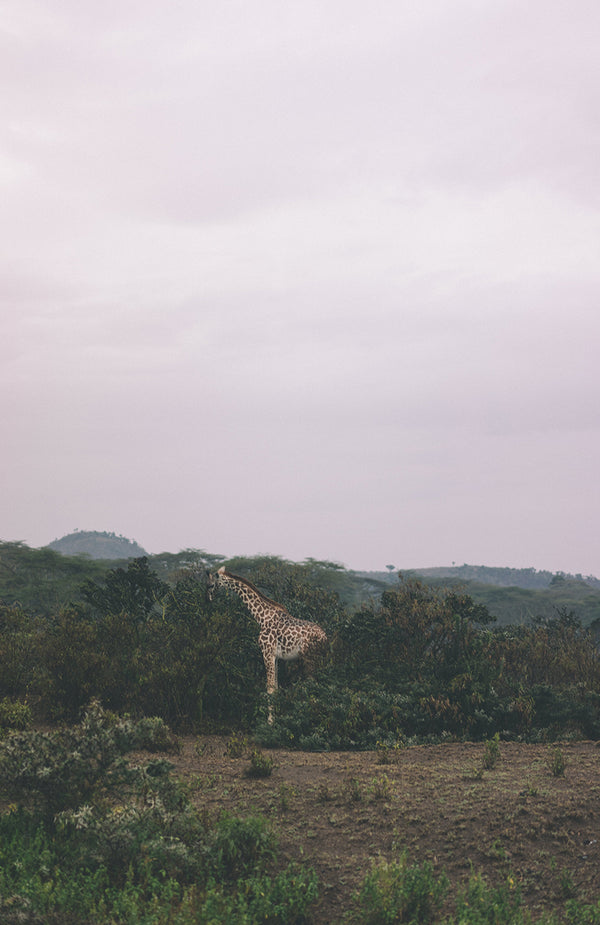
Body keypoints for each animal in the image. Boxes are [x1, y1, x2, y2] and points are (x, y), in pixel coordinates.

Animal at [207, 566, 328, 723]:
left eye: (210, 585)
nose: (207, 599)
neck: (261, 617)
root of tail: (325, 638)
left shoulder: (266, 652)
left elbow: (269, 688)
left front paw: (269, 723)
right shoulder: (275, 657)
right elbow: (275, 688)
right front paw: (275, 719)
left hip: (309, 658)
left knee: (312, 684)